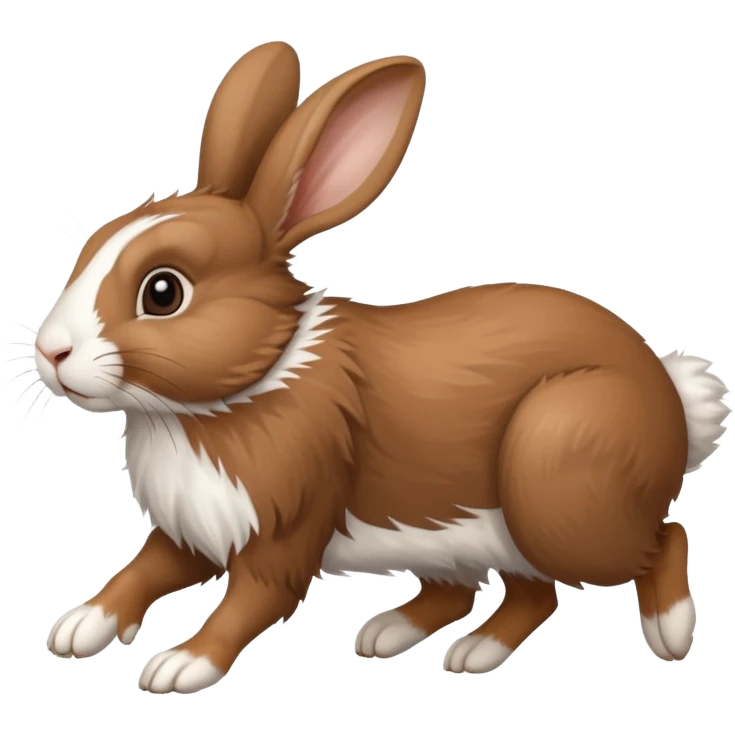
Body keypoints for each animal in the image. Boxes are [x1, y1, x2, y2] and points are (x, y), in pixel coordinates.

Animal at [37, 41, 729, 694]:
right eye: (90, 247)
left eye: (163, 292)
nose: (49, 352)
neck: (233, 395)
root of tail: (671, 400)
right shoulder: (192, 531)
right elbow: (143, 569)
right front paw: (77, 627)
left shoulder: (285, 529)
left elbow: (250, 600)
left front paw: (180, 666)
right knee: (517, 593)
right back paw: (418, 640)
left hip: (559, 480)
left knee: (661, 540)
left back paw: (669, 631)